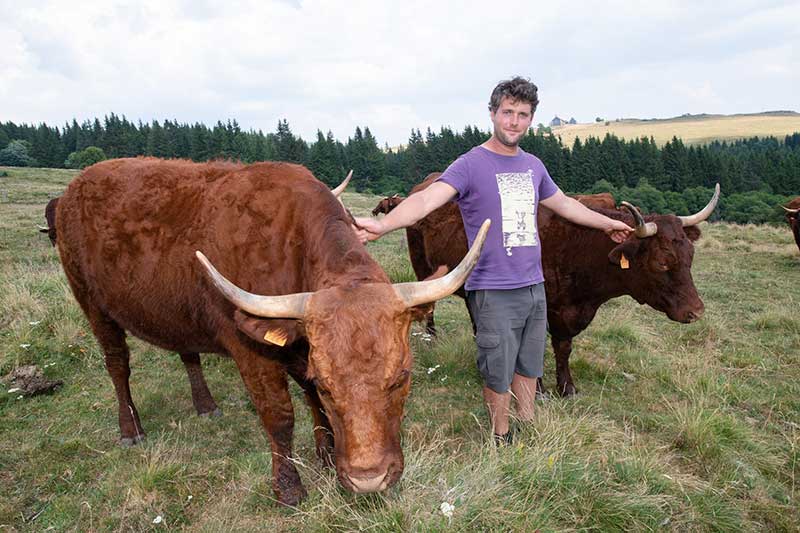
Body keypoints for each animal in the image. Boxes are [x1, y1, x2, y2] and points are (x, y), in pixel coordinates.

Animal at [54, 157, 488, 502]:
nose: (369, 479)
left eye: (402, 377)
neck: (290, 246)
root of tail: (79, 183)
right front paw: (290, 487)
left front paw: (327, 451)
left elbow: (307, 397)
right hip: (91, 303)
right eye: (330, 386)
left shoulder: (301, 344)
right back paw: (131, 428)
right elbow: (279, 415)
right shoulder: (249, 348)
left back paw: (205, 405)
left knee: (187, 352)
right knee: (117, 364)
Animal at [376, 172, 720, 392]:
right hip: (423, 265)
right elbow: (535, 347)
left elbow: (563, 347)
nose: (696, 311)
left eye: (690, 255)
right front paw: (538, 387)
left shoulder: (569, 312)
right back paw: (433, 335)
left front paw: (567, 386)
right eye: (662, 261)